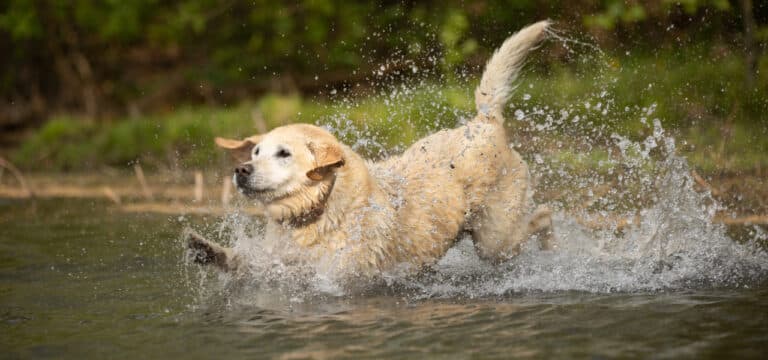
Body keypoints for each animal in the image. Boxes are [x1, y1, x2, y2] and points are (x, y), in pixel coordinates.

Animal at [189, 20, 556, 278]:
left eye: (284, 154)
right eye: (255, 153)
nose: (241, 170)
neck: (318, 210)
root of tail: (484, 122)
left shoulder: (337, 275)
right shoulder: (275, 263)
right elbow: (243, 262)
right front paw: (207, 250)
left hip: (494, 239)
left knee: (543, 215)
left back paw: (551, 247)